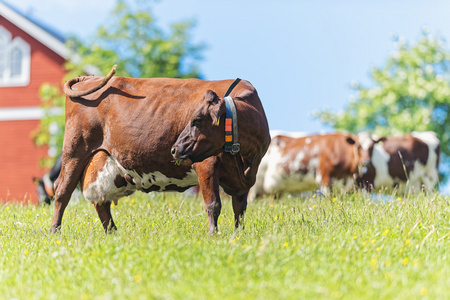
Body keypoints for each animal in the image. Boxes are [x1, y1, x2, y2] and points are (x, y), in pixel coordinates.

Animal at [50, 65, 268, 234]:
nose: (175, 149)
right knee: (62, 191)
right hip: (74, 151)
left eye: (196, 120)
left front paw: (238, 236)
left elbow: (239, 209)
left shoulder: (244, 180)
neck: (246, 159)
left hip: (103, 161)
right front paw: (213, 235)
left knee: (101, 201)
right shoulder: (207, 164)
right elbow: (213, 205)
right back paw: (54, 232)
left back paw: (113, 234)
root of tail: (88, 78)